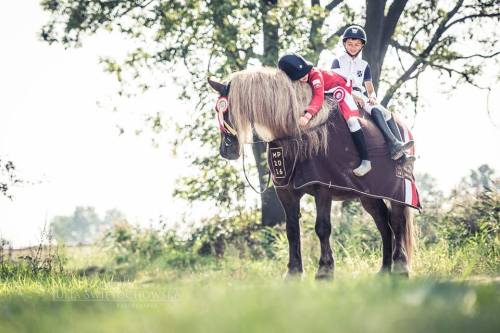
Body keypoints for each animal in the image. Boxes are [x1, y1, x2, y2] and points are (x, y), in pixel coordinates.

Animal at [207, 67, 414, 278]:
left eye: (222, 110)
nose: (225, 150)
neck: (300, 135)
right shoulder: (286, 193)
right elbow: (291, 229)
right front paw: (293, 272)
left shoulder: (323, 189)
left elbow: (322, 228)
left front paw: (324, 270)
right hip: (369, 196)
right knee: (383, 223)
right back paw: (384, 269)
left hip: (398, 191)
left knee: (397, 221)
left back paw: (400, 267)